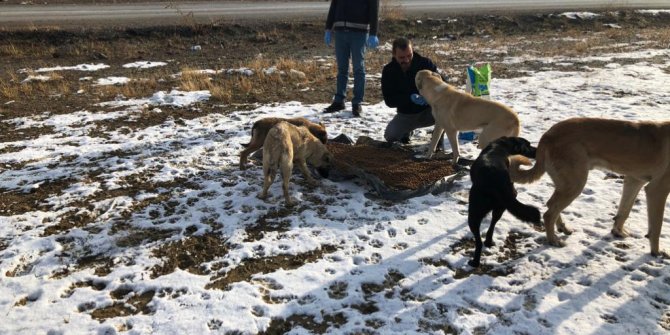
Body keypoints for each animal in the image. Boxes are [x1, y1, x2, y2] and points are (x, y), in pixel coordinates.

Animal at [470, 136, 544, 268]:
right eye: (529, 145)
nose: (537, 151)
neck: (502, 145)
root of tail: (497, 181)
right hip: (501, 207)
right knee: (493, 223)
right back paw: (489, 242)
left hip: (474, 213)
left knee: (478, 242)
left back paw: (475, 262)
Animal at [512, 118, 670, 258]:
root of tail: (547, 135)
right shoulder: (657, 190)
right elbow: (657, 227)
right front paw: (656, 252)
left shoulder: (634, 181)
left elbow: (624, 211)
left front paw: (617, 232)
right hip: (575, 184)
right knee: (549, 214)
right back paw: (554, 240)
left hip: (567, 184)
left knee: (551, 205)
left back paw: (563, 228)